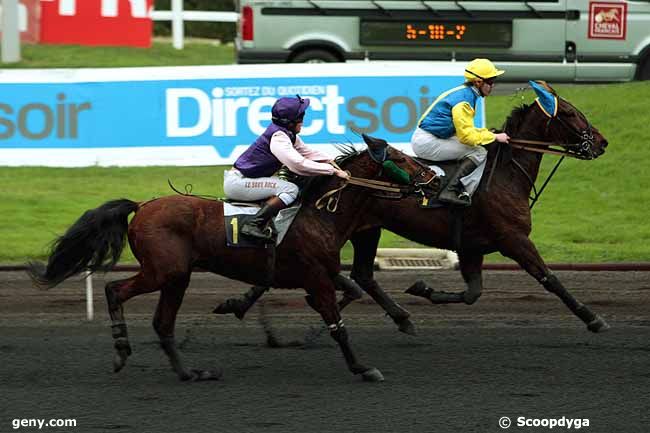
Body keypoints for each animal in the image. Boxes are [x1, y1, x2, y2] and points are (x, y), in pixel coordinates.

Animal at [27, 138, 438, 382]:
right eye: (400, 158)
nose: (434, 178)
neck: (321, 212)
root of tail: (142, 206)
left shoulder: (322, 273)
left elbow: (351, 290)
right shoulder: (316, 275)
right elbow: (338, 323)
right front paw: (363, 367)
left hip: (177, 278)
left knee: (163, 323)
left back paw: (189, 372)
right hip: (163, 271)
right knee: (115, 290)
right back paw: (122, 351)